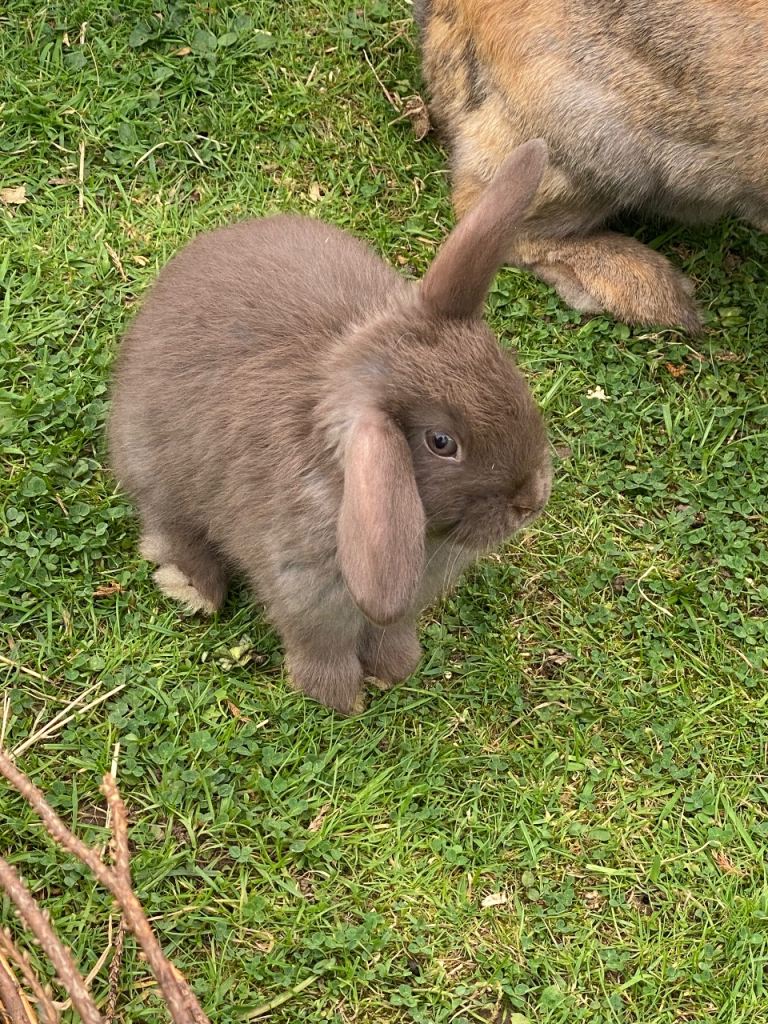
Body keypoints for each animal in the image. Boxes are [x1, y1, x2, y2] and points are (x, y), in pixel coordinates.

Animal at [108, 139, 552, 715]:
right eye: (441, 442)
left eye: (510, 372)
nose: (532, 500)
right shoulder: (305, 594)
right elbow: (322, 643)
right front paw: (337, 698)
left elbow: (389, 632)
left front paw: (396, 670)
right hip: (155, 463)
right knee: (166, 523)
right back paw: (194, 588)